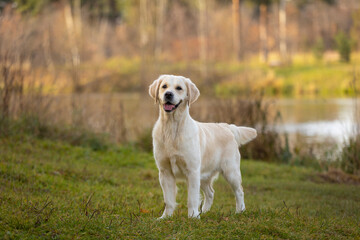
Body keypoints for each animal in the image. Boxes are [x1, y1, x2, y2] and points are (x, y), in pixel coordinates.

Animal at [148, 75, 256, 219]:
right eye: (164, 86)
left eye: (179, 88)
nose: (168, 94)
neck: (172, 128)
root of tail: (227, 127)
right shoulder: (165, 172)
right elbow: (169, 200)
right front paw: (165, 217)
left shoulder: (192, 171)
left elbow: (192, 198)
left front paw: (193, 216)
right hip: (204, 174)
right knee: (210, 192)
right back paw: (204, 212)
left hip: (230, 171)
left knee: (239, 191)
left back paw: (240, 211)